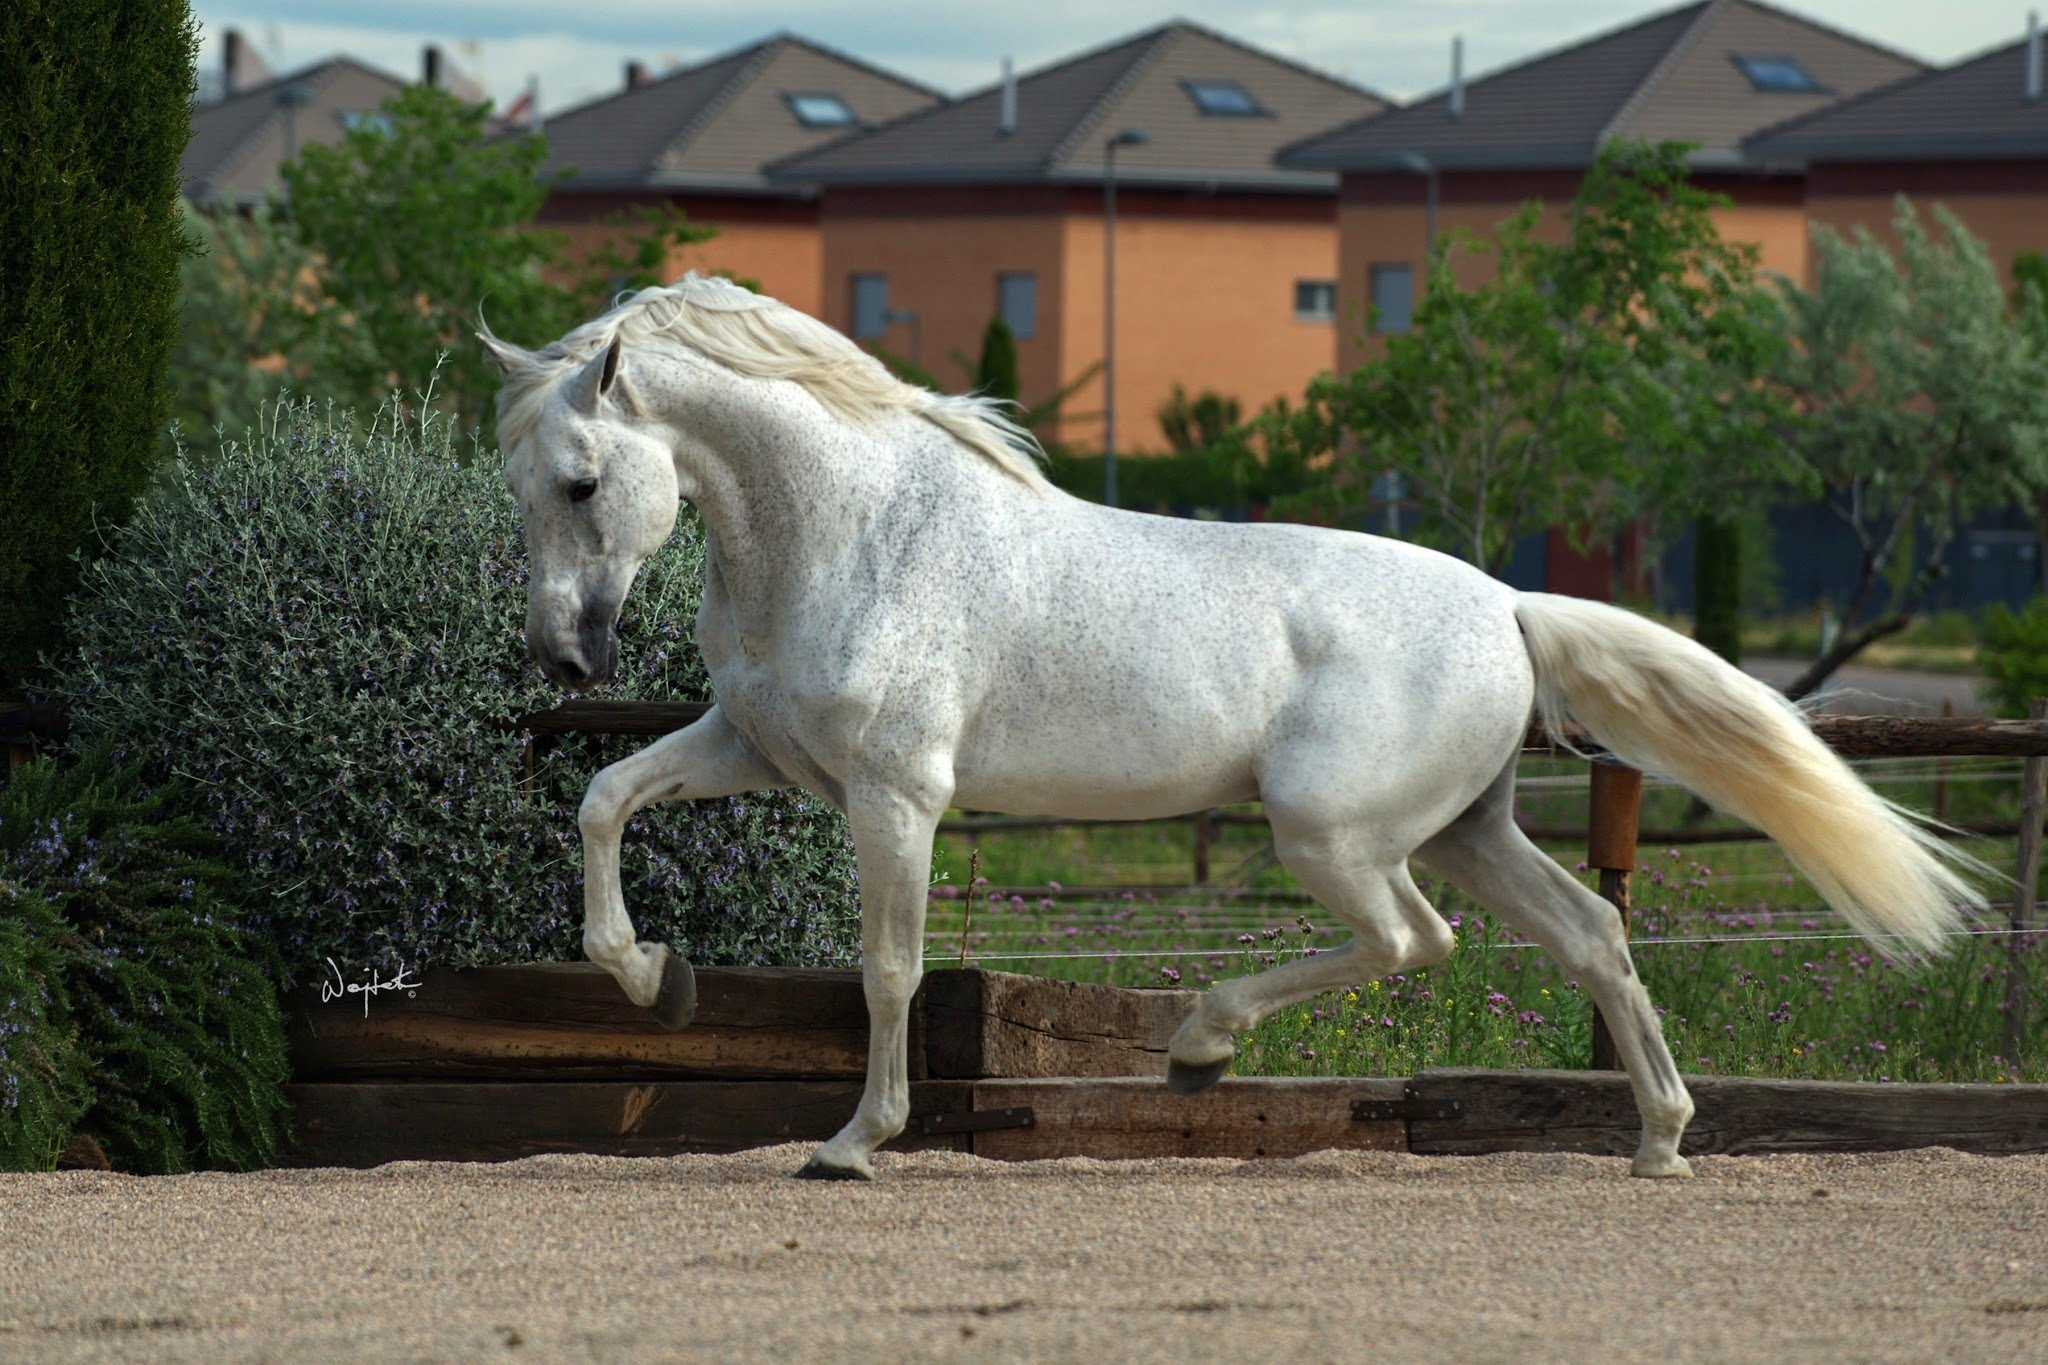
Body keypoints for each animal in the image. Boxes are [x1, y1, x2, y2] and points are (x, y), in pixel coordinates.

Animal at [479, 272, 1982, 1178]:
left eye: (579, 481)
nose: (562, 652)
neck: (854, 534)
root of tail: (1507, 603)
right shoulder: (752, 751)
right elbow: (605, 801)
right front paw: (650, 979)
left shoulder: (895, 796)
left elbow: (887, 971)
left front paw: (856, 1142)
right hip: (1469, 828)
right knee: (1589, 936)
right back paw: (1660, 1139)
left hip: (1332, 830)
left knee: (1411, 942)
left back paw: (1203, 1044)